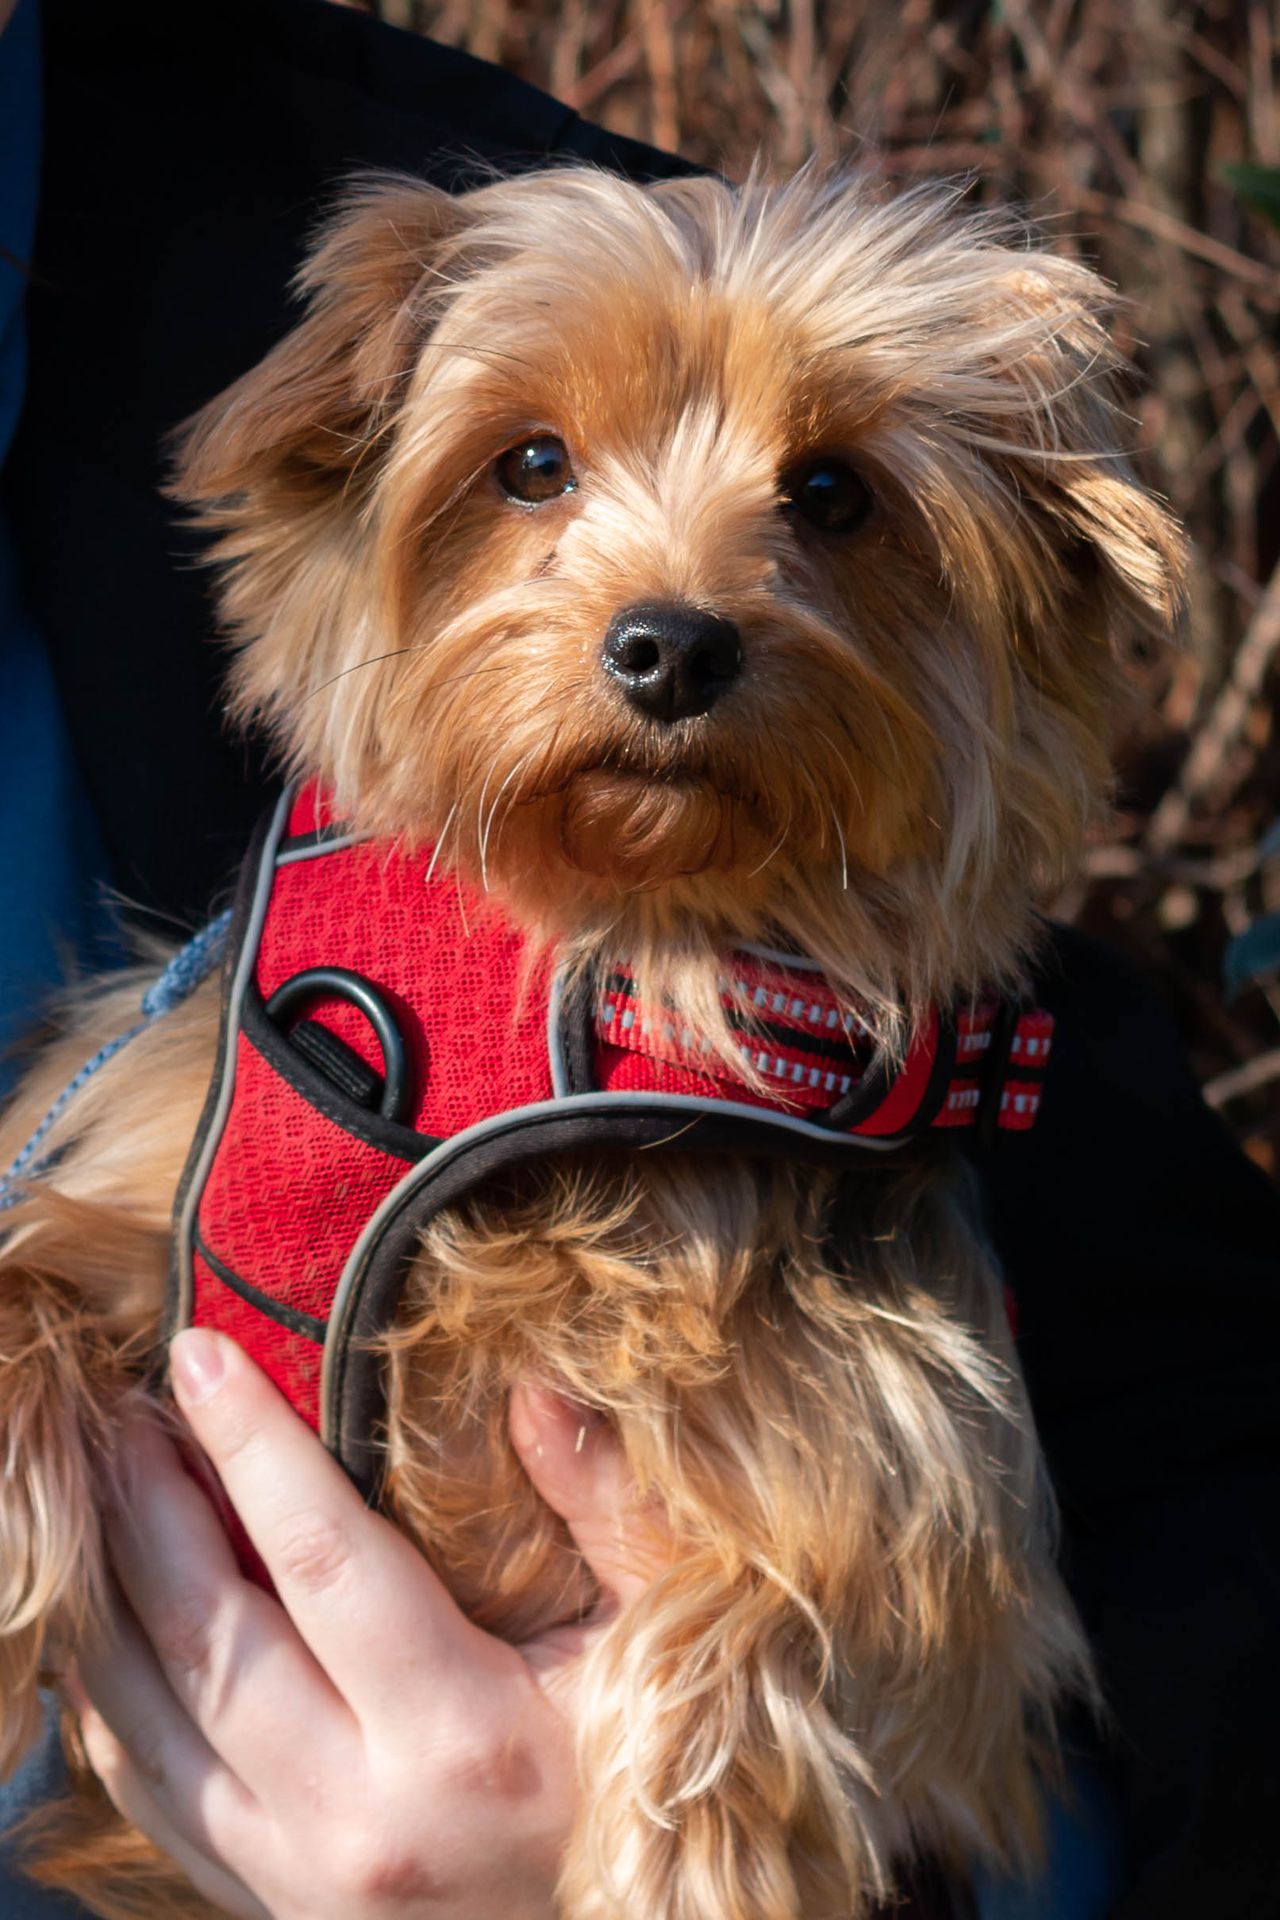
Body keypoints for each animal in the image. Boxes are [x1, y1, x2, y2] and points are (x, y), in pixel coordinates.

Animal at [0, 168, 1189, 1920]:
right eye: (531, 464)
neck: (625, 1000)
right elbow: (24, 1273)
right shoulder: (165, 1192)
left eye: (835, 493)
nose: (673, 645)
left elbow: (811, 1589)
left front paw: (688, 1863)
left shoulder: (930, 1495)